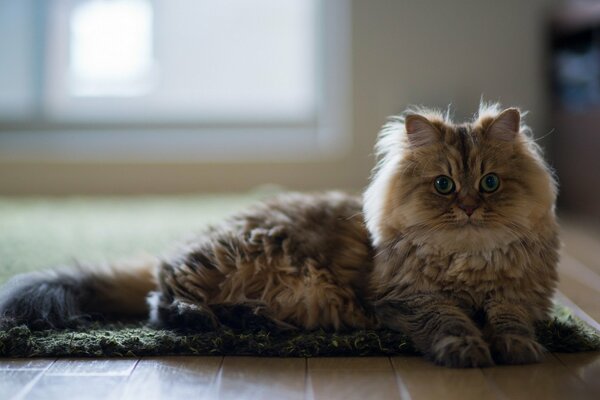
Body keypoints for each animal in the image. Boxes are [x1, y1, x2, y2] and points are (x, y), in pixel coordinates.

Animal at [0, 104, 560, 368]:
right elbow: (450, 323)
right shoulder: (410, 298)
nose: (468, 207)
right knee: (162, 303)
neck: (469, 260)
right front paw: (468, 351)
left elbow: (510, 324)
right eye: (443, 185)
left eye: (489, 183)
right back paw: (220, 321)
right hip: (236, 257)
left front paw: (518, 350)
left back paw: (254, 320)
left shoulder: (520, 297)